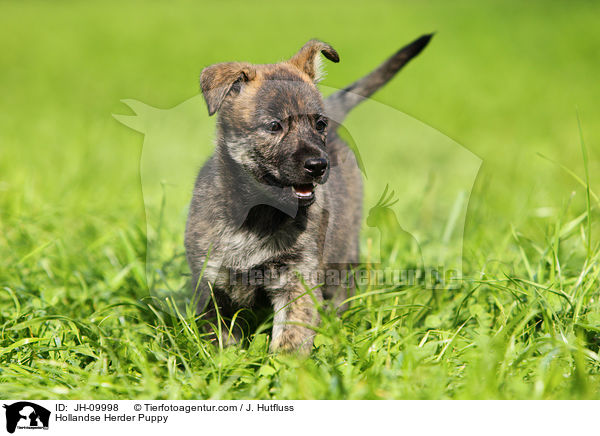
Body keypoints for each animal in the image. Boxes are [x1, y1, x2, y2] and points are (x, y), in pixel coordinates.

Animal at [184, 35, 432, 354]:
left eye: (319, 124)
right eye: (274, 126)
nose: (318, 165)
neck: (258, 215)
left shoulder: (297, 279)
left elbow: (290, 336)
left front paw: (286, 366)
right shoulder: (213, 284)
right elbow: (221, 340)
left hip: (342, 255)